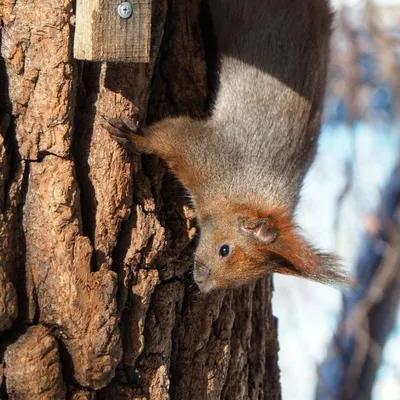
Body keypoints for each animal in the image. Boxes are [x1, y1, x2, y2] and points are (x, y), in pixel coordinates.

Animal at [104, 0, 350, 292]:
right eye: (224, 250)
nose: (202, 285)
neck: (238, 193)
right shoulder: (206, 150)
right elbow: (167, 135)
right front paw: (134, 138)